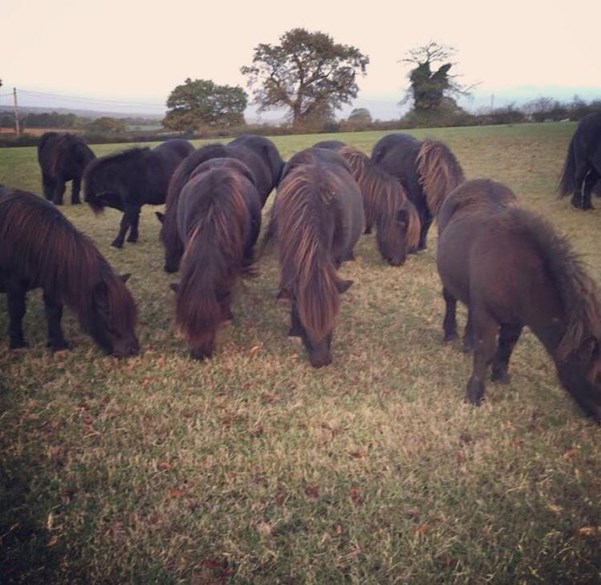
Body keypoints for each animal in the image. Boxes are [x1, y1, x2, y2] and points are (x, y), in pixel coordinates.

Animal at [0, 187, 139, 356]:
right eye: (106, 311)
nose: (132, 349)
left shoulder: (52, 283)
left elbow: (54, 312)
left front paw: (59, 346)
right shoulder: (15, 285)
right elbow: (17, 310)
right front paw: (17, 343)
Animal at [436, 178, 600, 420]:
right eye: (597, 380)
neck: (518, 273)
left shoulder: (516, 319)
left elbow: (508, 344)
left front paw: (500, 374)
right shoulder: (488, 315)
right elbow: (485, 351)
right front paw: (475, 393)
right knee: (450, 299)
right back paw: (450, 334)